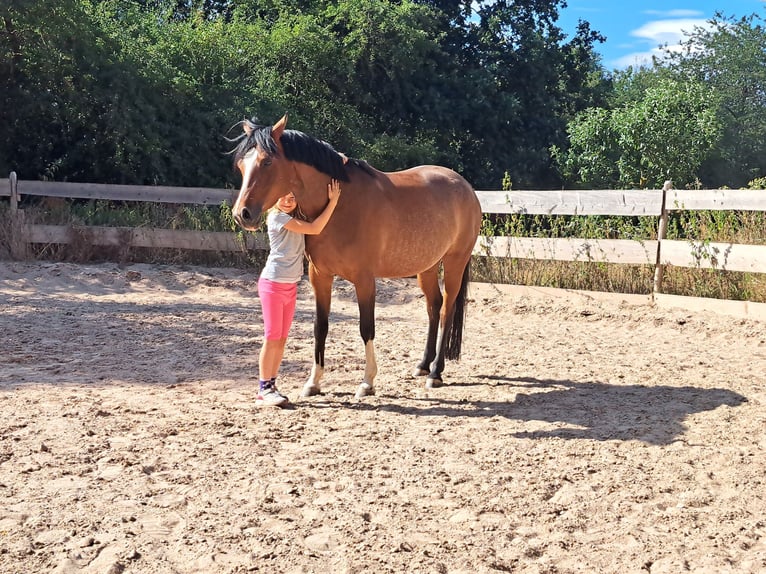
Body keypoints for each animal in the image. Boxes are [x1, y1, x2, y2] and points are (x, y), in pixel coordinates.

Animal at [230, 116, 480, 400]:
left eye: (267, 162)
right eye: (241, 164)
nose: (242, 215)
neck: (340, 207)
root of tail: (465, 187)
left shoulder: (364, 280)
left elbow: (366, 328)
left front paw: (367, 382)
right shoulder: (320, 276)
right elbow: (320, 327)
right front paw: (313, 382)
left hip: (454, 262)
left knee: (448, 308)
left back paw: (436, 372)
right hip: (426, 267)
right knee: (433, 307)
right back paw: (423, 365)